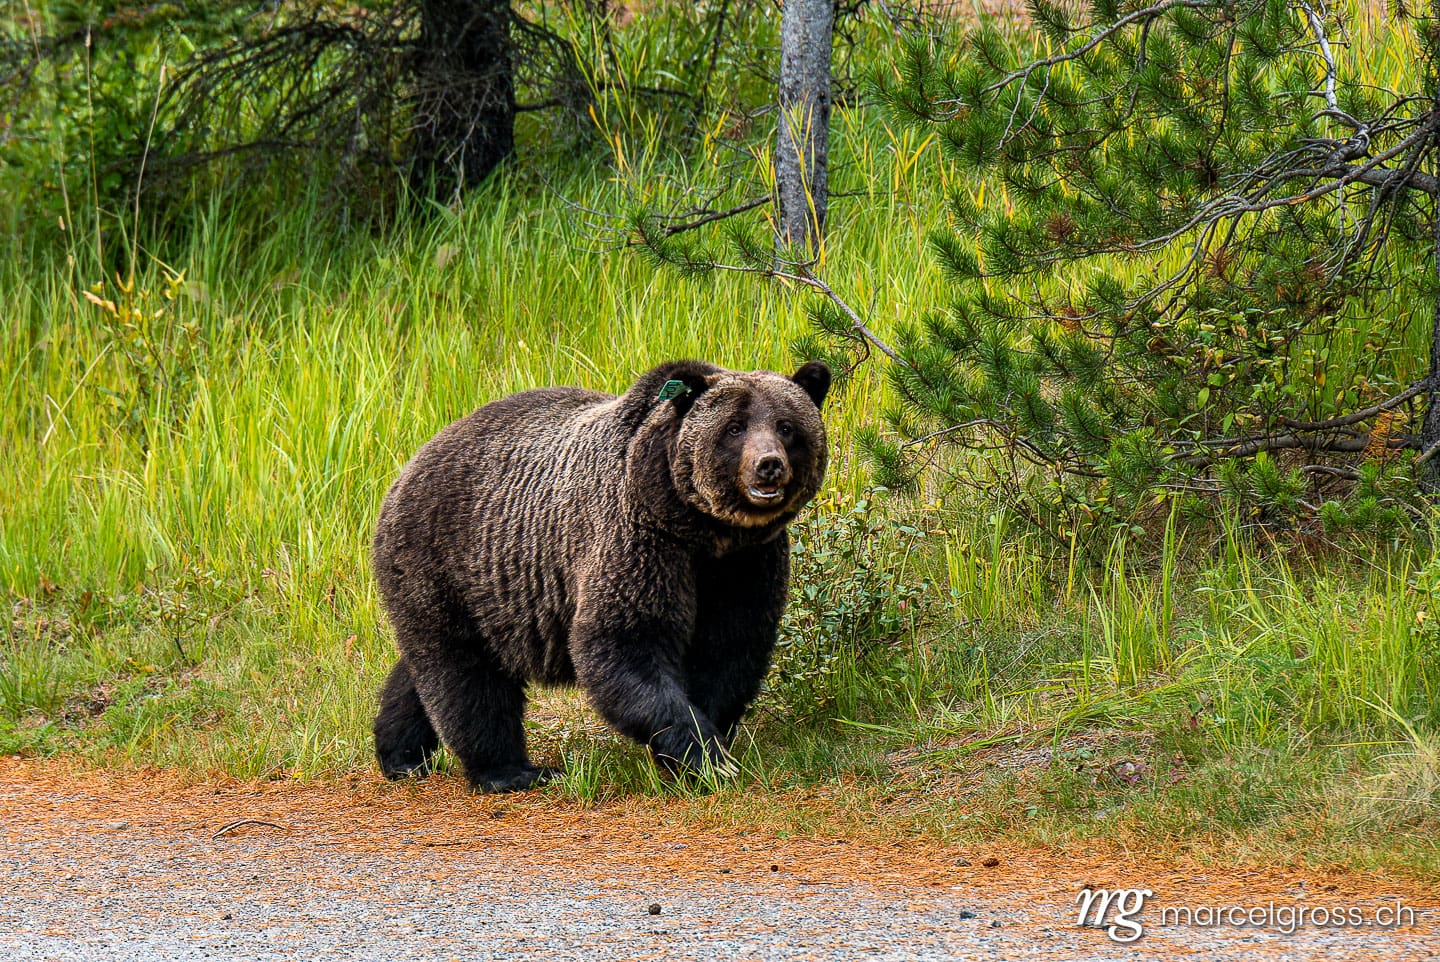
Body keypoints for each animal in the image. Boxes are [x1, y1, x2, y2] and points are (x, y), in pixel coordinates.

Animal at [371, 359, 831, 793]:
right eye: (734, 427)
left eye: (786, 426)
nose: (768, 465)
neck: (701, 528)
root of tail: (407, 468)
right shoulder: (637, 536)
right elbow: (626, 641)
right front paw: (703, 755)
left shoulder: (745, 562)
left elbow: (729, 648)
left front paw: (705, 749)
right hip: (449, 559)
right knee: (465, 674)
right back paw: (511, 771)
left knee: (422, 670)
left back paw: (401, 754)